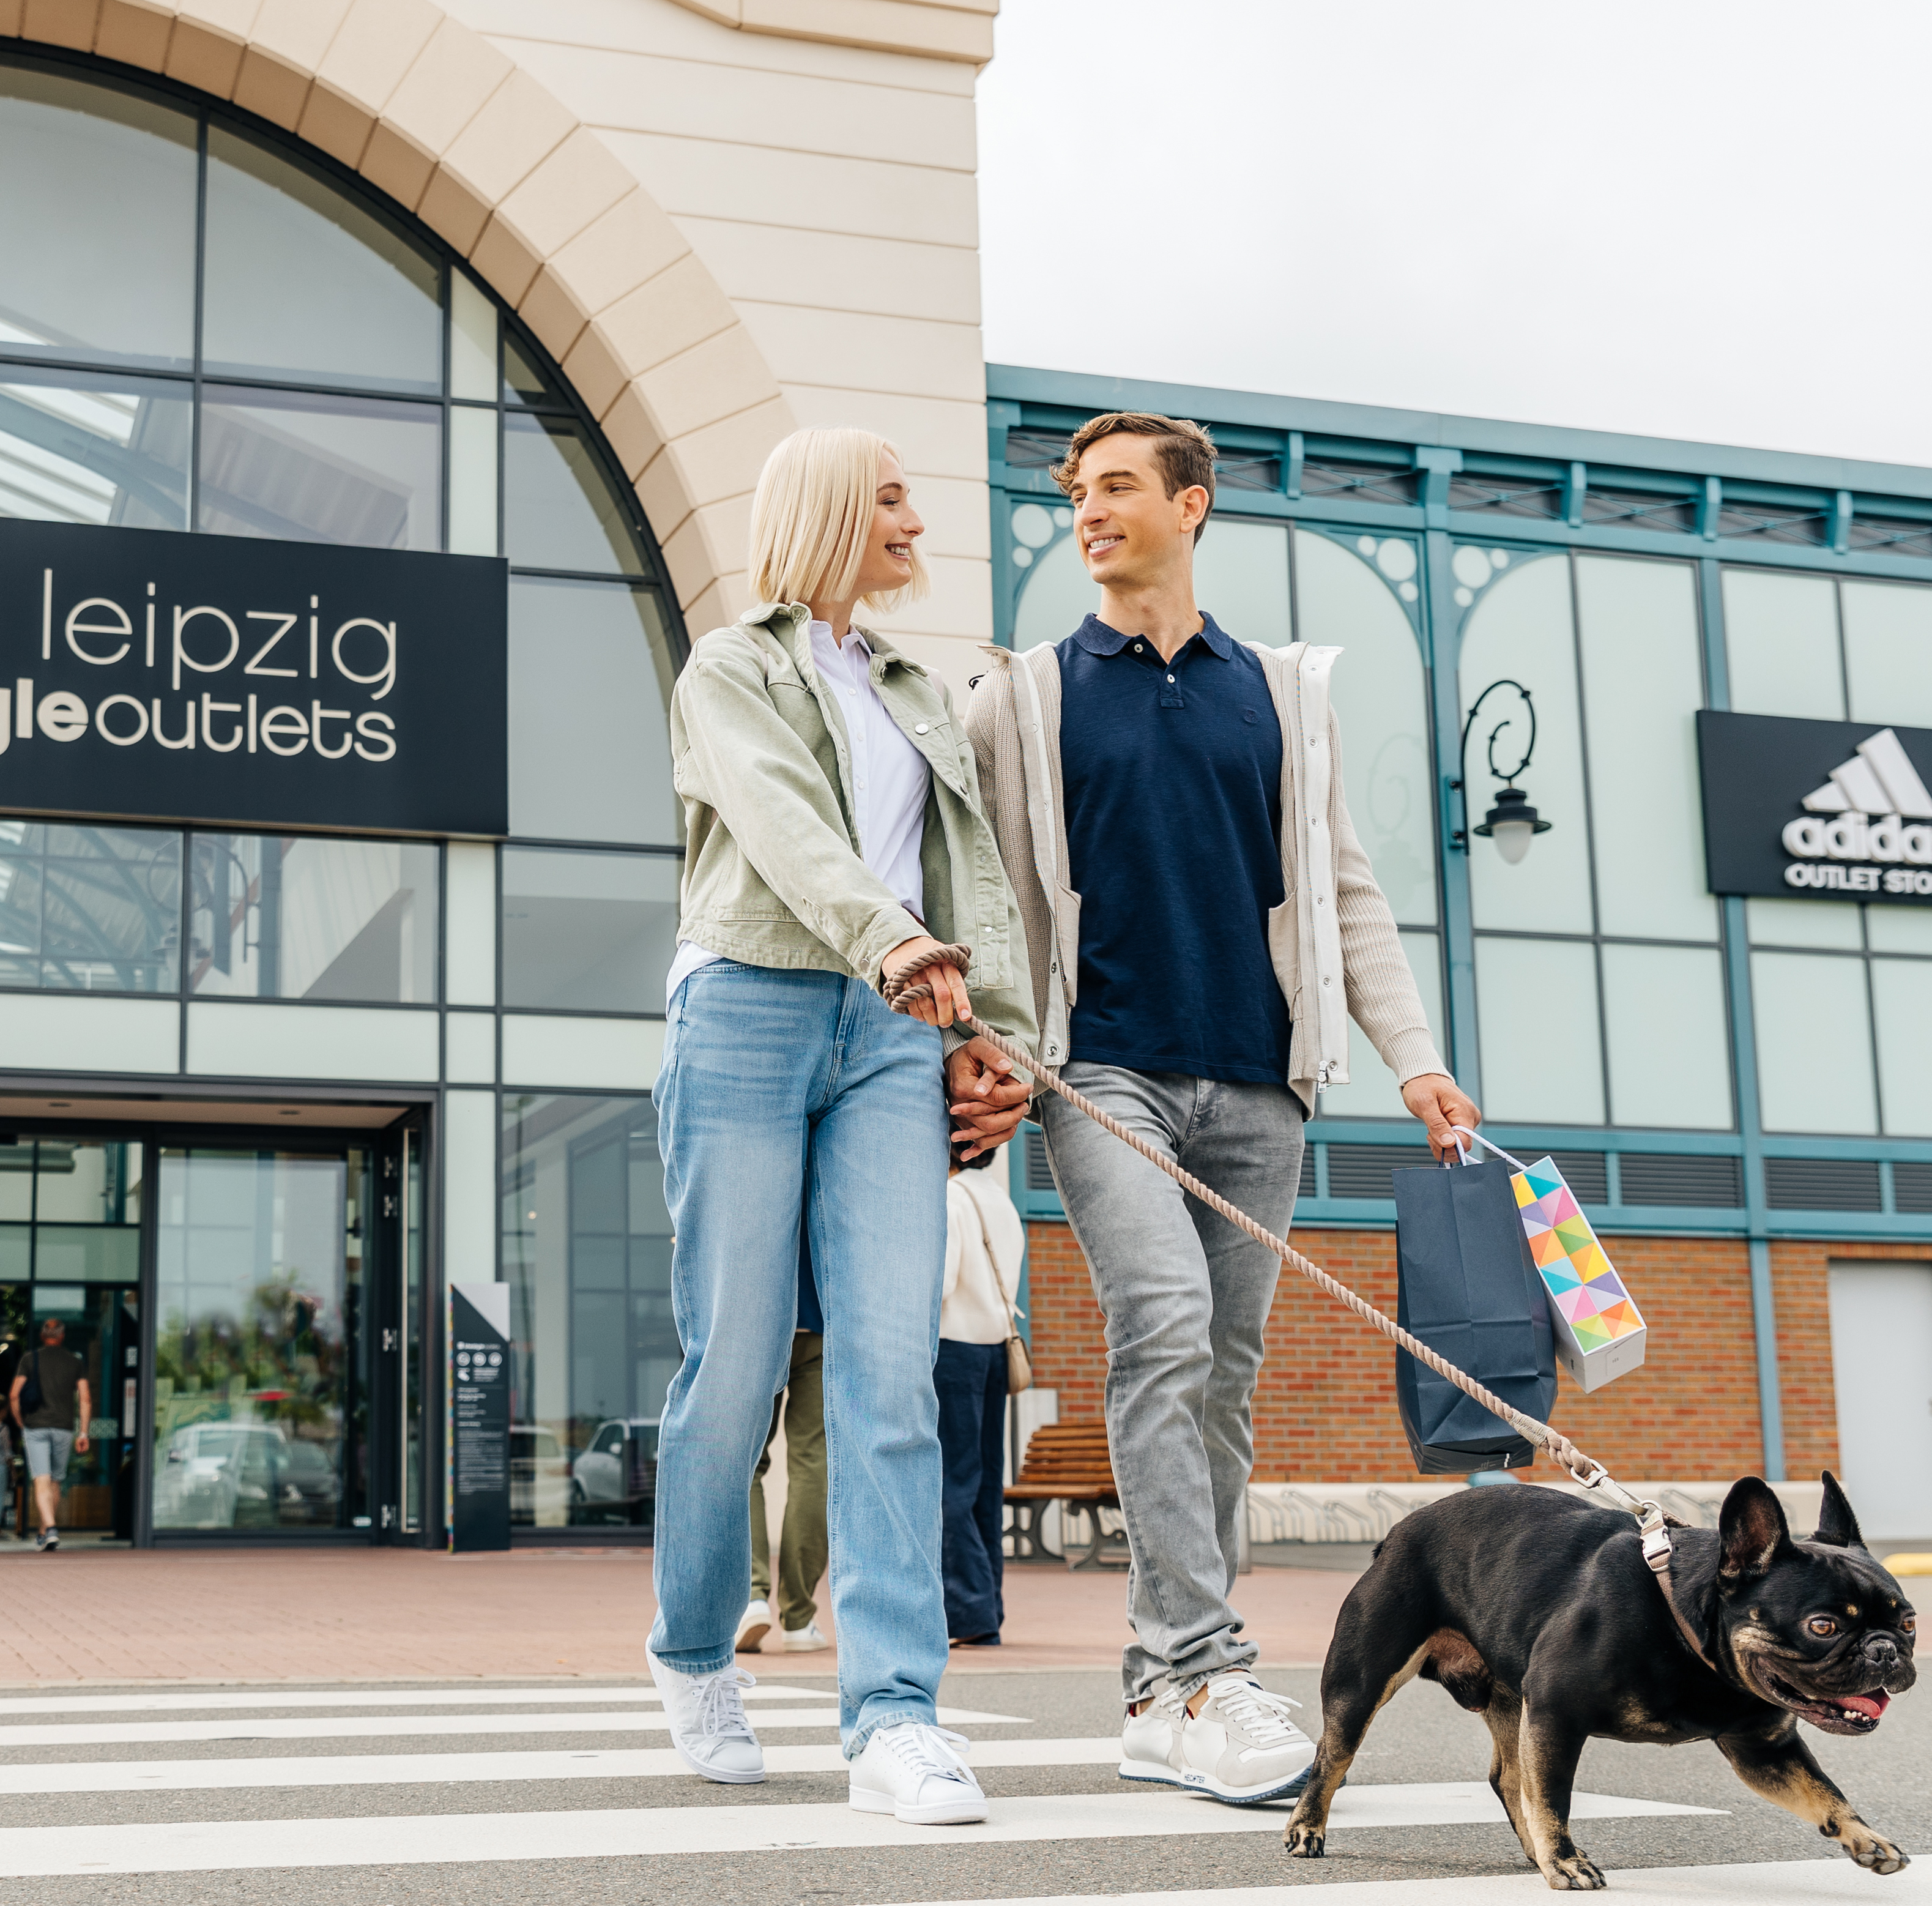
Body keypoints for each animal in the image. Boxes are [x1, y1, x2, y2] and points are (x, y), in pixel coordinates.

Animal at [1290, 1469, 1909, 1886]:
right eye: (1823, 1625)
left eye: (1909, 1621)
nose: (1886, 1651)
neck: (1683, 1625)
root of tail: (1396, 1532)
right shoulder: (1556, 1716)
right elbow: (1554, 1795)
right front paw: (1566, 1859)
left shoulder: (1765, 1750)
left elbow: (1823, 1791)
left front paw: (1866, 1837)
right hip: (1363, 1681)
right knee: (1333, 1756)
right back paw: (1307, 1828)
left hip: (1511, 1698)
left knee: (1509, 1778)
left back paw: (1535, 1853)